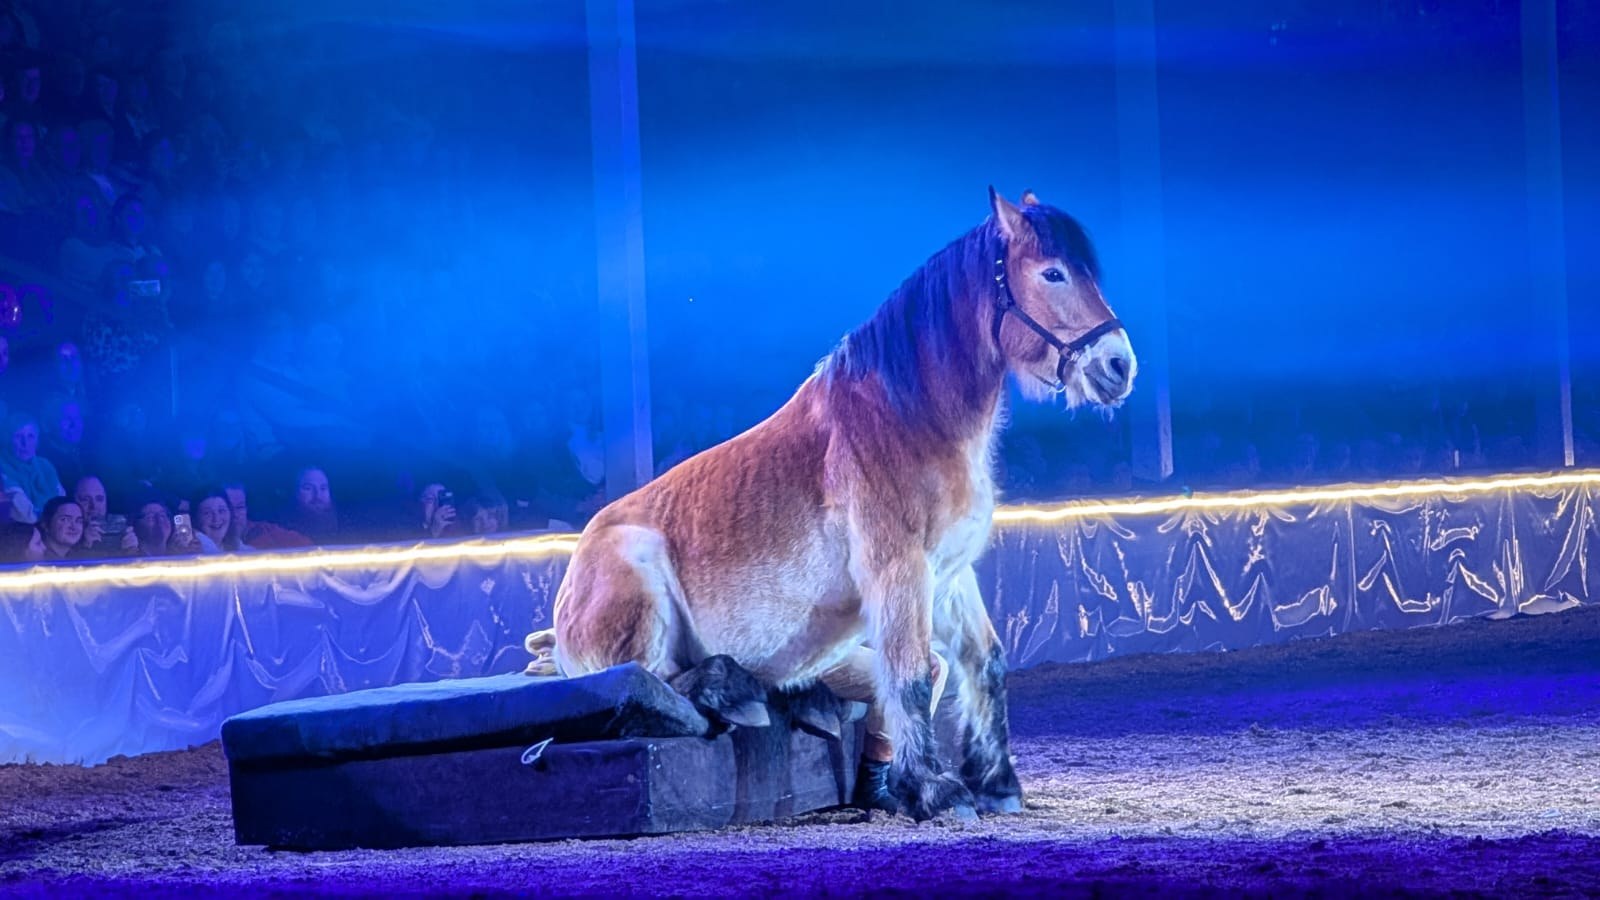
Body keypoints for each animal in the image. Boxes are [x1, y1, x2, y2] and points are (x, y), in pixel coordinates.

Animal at [525, 188, 1136, 821]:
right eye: (1053, 273)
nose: (1119, 365)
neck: (907, 420)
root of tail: (566, 600)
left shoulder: (947, 575)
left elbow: (979, 661)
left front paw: (995, 783)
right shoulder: (899, 570)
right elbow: (913, 676)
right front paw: (937, 791)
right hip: (638, 594)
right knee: (651, 684)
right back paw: (737, 690)